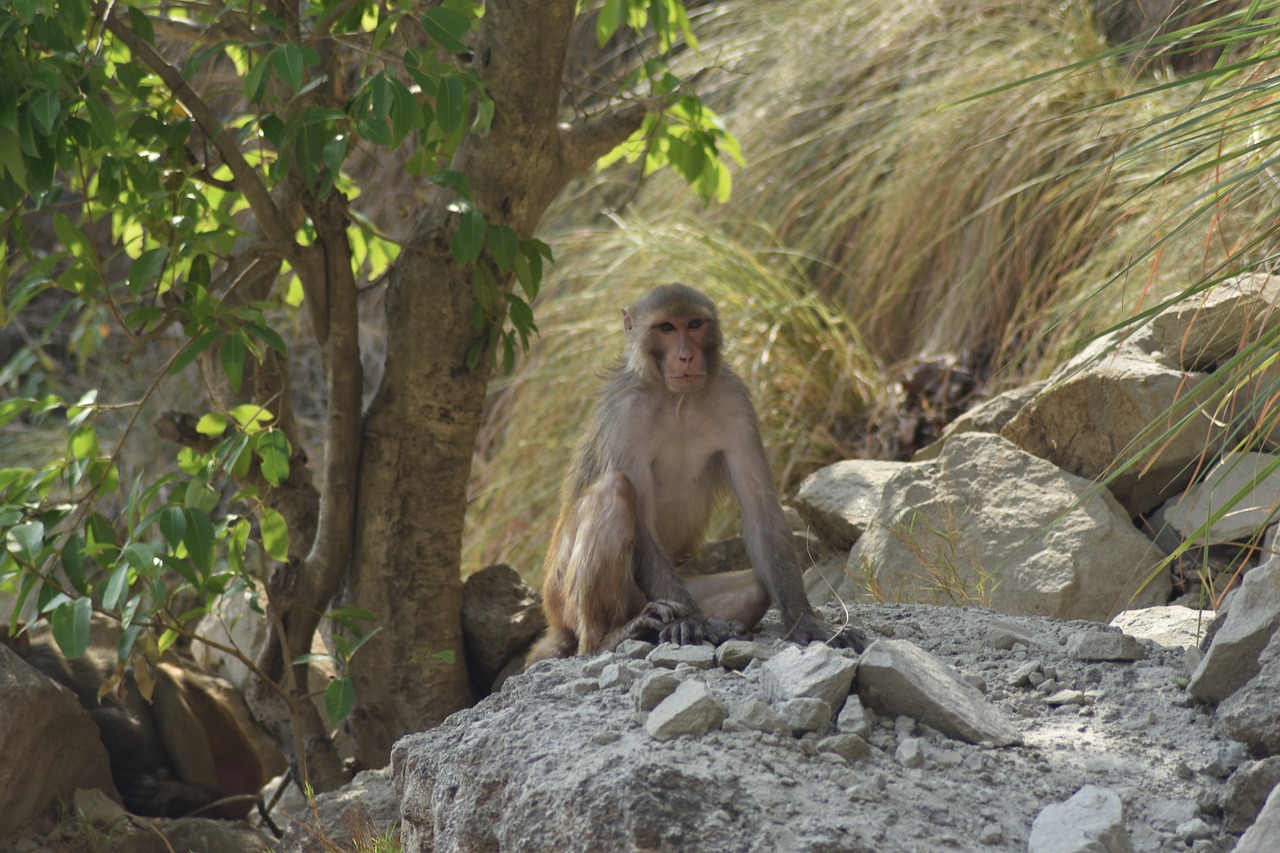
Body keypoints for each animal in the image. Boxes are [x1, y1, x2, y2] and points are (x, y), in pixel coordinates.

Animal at [524, 281, 865, 660]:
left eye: (694, 325)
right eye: (666, 328)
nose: (686, 356)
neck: (677, 399)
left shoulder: (734, 400)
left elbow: (759, 508)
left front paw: (805, 620)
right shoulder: (624, 415)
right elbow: (640, 521)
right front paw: (693, 621)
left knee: (753, 588)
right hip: (563, 597)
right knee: (615, 489)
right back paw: (609, 639)